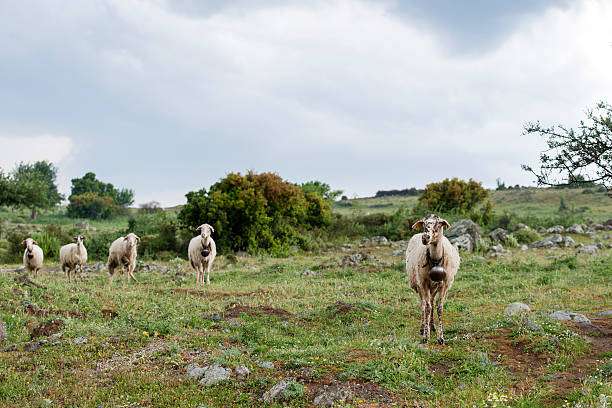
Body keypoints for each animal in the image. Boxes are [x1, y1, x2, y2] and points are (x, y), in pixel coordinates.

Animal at [406, 214, 460, 344]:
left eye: (439, 223)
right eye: (423, 223)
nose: (425, 237)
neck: (435, 259)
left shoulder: (444, 285)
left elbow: (439, 308)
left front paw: (440, 337)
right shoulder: (424, 283)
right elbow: (427, 308)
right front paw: (426, 336)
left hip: (434, 287)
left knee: (431, 301)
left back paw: (432, 325)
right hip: (419, 284)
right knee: (424, 304)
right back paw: (423, 327)